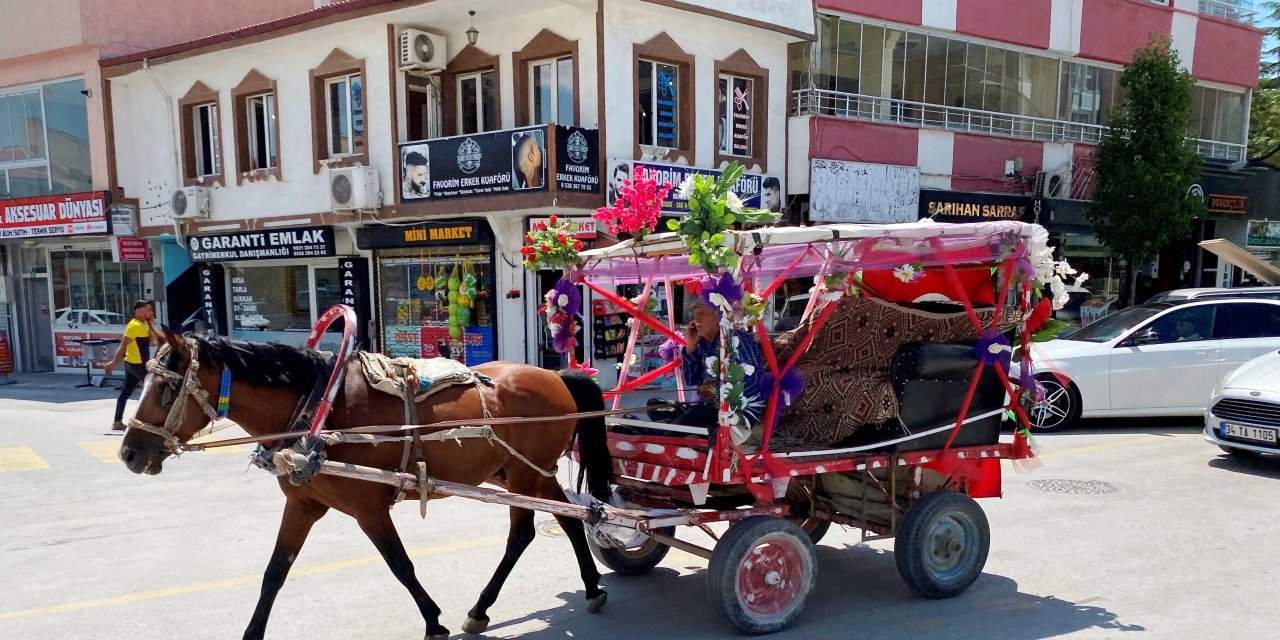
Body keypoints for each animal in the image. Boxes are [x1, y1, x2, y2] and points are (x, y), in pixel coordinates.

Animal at [119, 330, 614, 640]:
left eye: (165, 388)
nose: (128, 453)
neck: (319, 407)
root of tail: (555, 375)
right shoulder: (303, 505)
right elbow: (274, 573)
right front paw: (252, 632)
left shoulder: (368, 509)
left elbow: (400, 565)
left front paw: (433, 622)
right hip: (527, 471)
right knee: (570, 521)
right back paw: (589, 589)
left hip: (526, 473)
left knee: (523, 533)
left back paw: (483, 608)